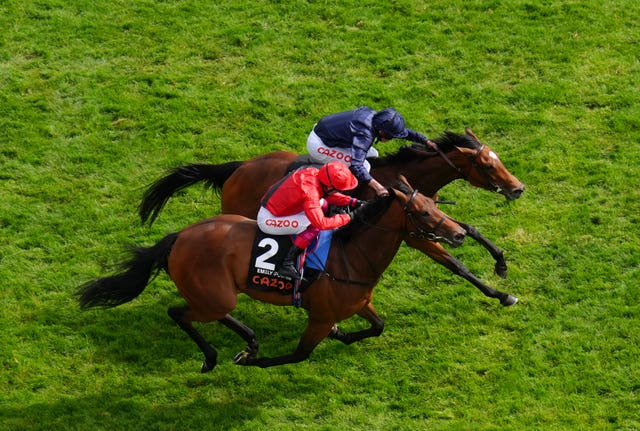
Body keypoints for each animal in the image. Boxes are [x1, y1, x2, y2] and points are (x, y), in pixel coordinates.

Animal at [81, 179, 470, 372]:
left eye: (435, 204)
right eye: (423, 211)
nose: (459, 234)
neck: (351, 256)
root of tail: (179, 237)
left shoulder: (359, 302)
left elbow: (377, 326)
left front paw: (341, 334)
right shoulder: (319, 316)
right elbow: (299, 354)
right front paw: (256, 361)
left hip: (216, 295)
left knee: (209, 315)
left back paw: (249, 342)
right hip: (214, 295)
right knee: (179, 312)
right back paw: (216, 356)